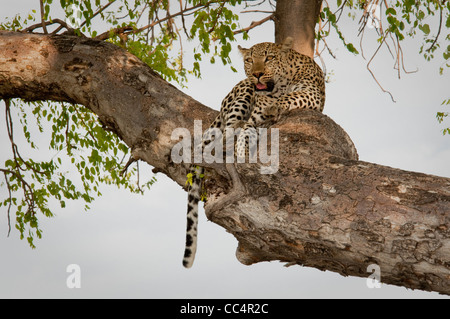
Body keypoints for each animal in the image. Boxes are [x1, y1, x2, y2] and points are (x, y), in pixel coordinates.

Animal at [181, 37, 326, 268]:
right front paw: (242, 148)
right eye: (249, 60)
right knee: (225, 132)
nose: (257, 73)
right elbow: (247, 128)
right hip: (241, 95)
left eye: (269, 58)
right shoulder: (253, 113)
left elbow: (292, 97)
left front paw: (273, 108)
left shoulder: (311, 94)